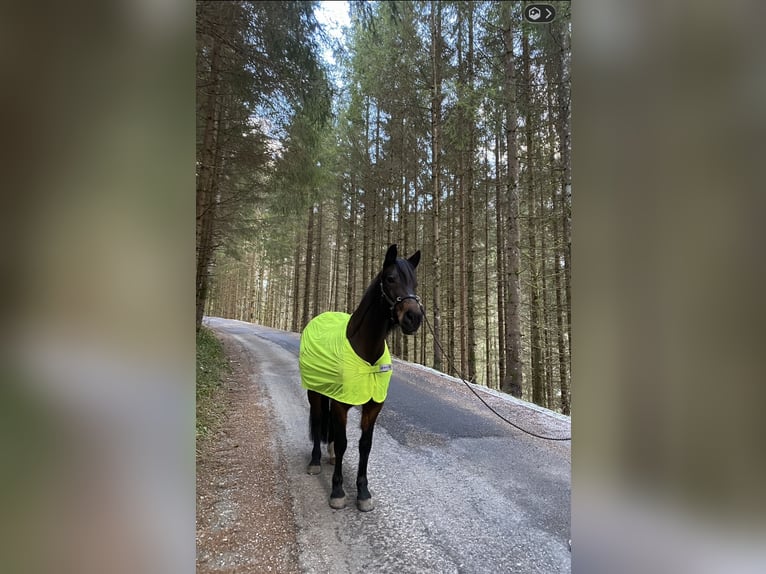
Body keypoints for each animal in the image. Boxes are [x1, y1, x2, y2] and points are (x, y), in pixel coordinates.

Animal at [299, 244, 422, 511]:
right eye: (390, 278)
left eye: (415, 283)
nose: (414, 318)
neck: (366, 353)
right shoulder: (341, 404)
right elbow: (344, 442)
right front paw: (337, 491)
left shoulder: (373, 406)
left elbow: (364, 445)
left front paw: (363, 492)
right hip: (315, 392)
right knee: (318, 419)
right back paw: (315, 461)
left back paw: (330, 455)